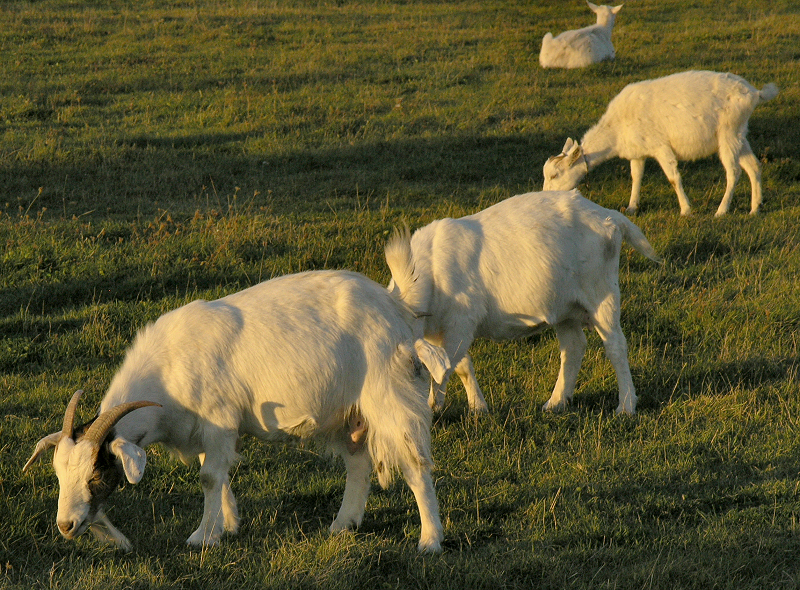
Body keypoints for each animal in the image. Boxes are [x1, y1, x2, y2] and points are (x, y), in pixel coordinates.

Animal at [23, 272, 450, 556]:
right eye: (59, 474)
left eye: (96, 475)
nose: (66, 525)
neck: (167, 369)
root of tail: (396, 310)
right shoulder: (205, 430)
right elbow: (219, 475)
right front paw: (226, 527)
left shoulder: (219, 419)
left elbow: (209, 478)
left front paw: (201, 537)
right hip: (347, 413)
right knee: (358, 461)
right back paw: (343, 524)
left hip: (389, 394)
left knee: (414, 463)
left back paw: (430, 541)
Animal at [384, 190, 660, 416]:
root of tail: (609, 216)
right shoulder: (438, 330)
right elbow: (459, 365)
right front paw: (477, 407)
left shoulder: (460, 322)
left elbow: (449, 365)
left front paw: (435, 406)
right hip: (564, 307)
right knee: (573, 347)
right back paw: (556, 402)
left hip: (602, 291)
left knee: (615, 346)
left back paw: (626, 406)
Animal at [540, 70, 780, 217]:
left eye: (554, 175)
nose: (545, 197)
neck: (616, 129)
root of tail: (755, 93)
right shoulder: (638, 151)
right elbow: (636, 177)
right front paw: (631, 207)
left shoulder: (660, 146)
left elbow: (673, 177)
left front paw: (686, 210)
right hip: (740, 133)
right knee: (753, 166)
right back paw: (755, 208)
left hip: (728, 132)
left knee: (734, 171)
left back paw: (721, 211)